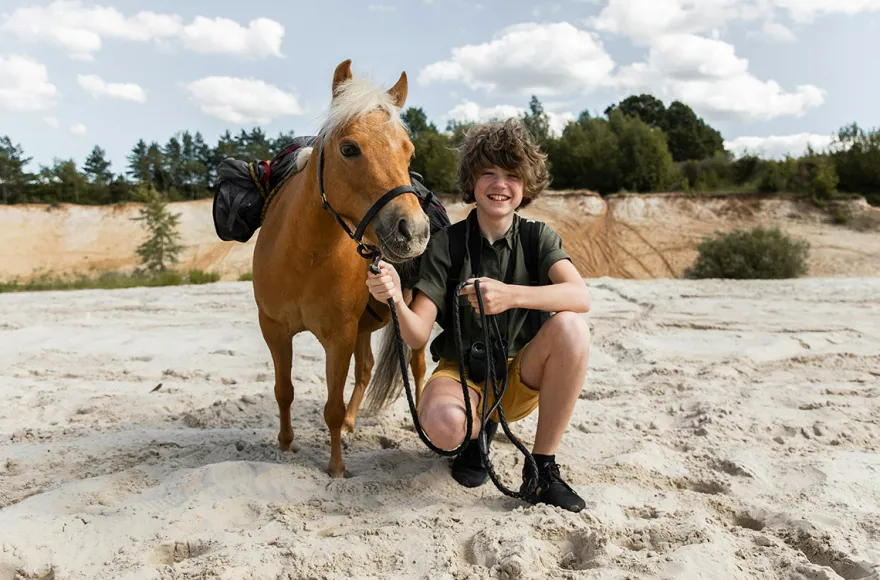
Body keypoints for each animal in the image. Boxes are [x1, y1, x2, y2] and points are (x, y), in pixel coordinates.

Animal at [252, 59, 431, 478]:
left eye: (408, 151)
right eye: (349, 148)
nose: (414, 231)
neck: (305, 257)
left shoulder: (339, 336)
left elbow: (330, 407)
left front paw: (335, 468)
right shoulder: (274, 329)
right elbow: (283, 391)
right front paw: (286, 444)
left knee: (417, 367)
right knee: (366, 368)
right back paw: (352, 421)